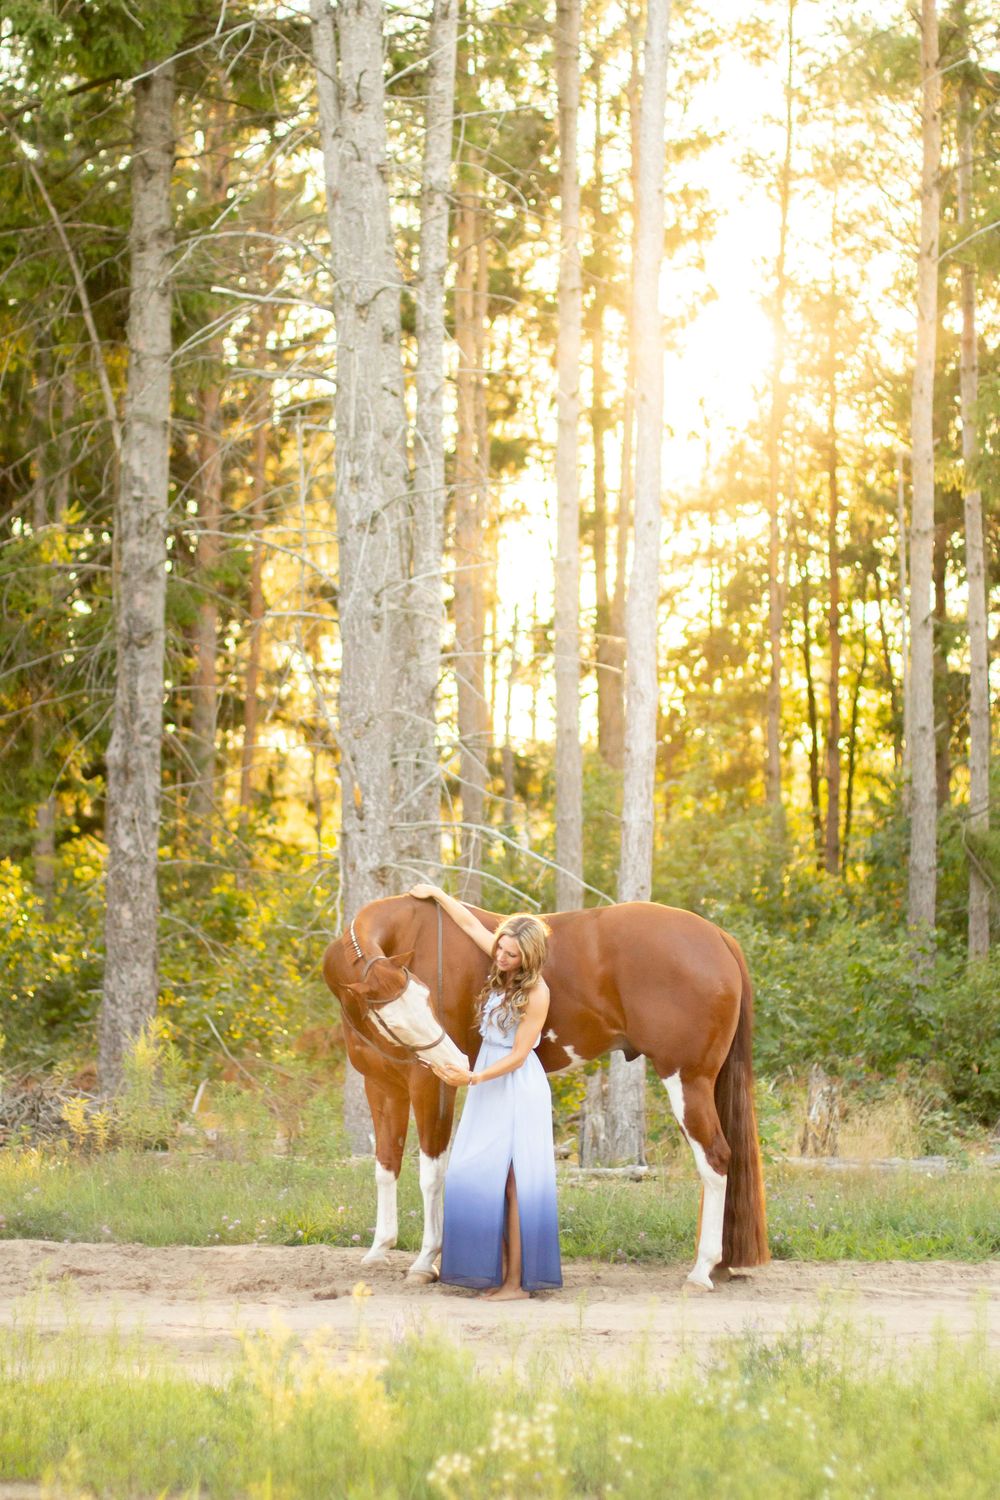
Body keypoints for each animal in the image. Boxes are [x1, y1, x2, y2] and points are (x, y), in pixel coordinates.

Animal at [322, 894, 769, 1290]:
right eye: (393, 1018)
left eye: (428, 998)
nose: (455, 1061)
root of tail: (717, 937)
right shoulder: (382, 1087)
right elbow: (386, 1166)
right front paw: (380, 1248)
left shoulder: (429, 1085)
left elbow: (431, 1173)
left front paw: (426, 1261)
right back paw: (719, 1266)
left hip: (687, 1080)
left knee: (715, 1159)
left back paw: (702, 1269)